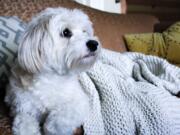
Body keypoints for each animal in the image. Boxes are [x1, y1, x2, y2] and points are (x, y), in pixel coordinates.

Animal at [5, 7, 100, 135]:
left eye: (84, 31)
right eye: (66, 32)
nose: (94, 44)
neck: (51, 79)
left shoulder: (80, 102)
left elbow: (62, 117)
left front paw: (51, 127)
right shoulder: (22, 108)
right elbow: (25, 123)